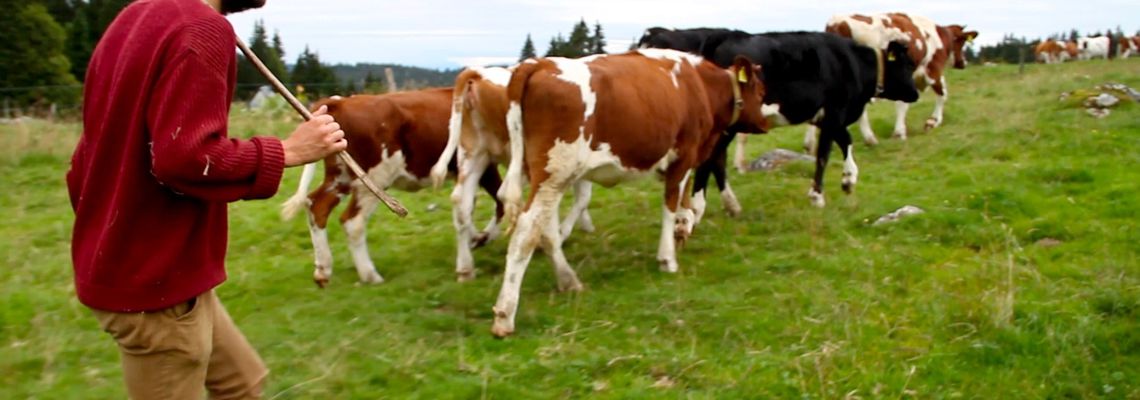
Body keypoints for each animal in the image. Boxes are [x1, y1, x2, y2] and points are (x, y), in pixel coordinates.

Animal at [278, 89, 506, 287]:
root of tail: (341, 101)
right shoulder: (485, 165)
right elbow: (498, 201)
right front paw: (484, 237)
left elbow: (470, 206)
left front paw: (474, 237)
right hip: (372, 179)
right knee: (352, 221)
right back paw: (370, 275)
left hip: (340, 176)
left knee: (317, 205)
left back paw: (323, 270)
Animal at [428, 66, 597, 282]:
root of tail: (478, 74)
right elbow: (582, 198)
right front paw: (563, 232)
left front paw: (584, 225)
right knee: (502, 196)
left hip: (474, 156)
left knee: (461, 203)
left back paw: (466, 266)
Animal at [487, 50, 766, 337]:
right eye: (761, 92)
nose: (764, 123)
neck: (698, 83)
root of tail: (538, 63)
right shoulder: (684, 155)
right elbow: (671, 205)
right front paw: (668, 257)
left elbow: (684, 204)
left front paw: (683, 227)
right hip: (554, 175)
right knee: (526, 233)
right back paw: (505, 315)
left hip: (544, 177)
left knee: (547, 231)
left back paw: (568, 280)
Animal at [638, 27, 921, 216]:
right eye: (906, 64)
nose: (916, 93)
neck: (854, 64)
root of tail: (722, 36)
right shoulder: (834, 114)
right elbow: (824, 154)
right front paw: (819, 195)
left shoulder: (828, 117)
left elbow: (845, 141)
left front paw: (848, 180)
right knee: (711, 160)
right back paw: (699, 207)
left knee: (716, 160)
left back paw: (732, 205)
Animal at [825, 12, 975, 142]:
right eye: (962, 42)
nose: (964, 62)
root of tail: (837, 22)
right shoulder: (932, 70)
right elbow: (941, 94)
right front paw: (929, 123)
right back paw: (869, 138)